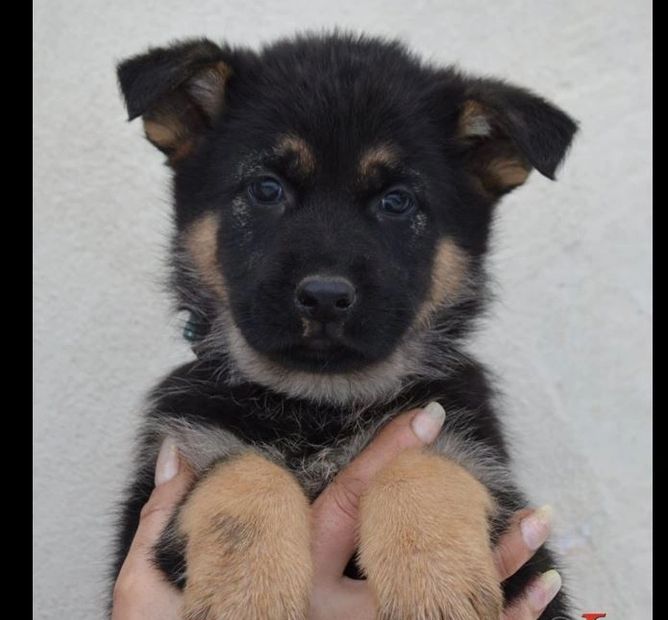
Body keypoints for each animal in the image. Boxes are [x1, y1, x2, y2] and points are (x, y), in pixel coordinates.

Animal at [112, 32, 576, 620]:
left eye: (397, 201)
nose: (325, 298)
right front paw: (248, 591)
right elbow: (242, 467)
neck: (320, 405)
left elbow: (421, 462)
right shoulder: (165, 478)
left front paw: (436, 582)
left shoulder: (508, 519)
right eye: (266, 189)